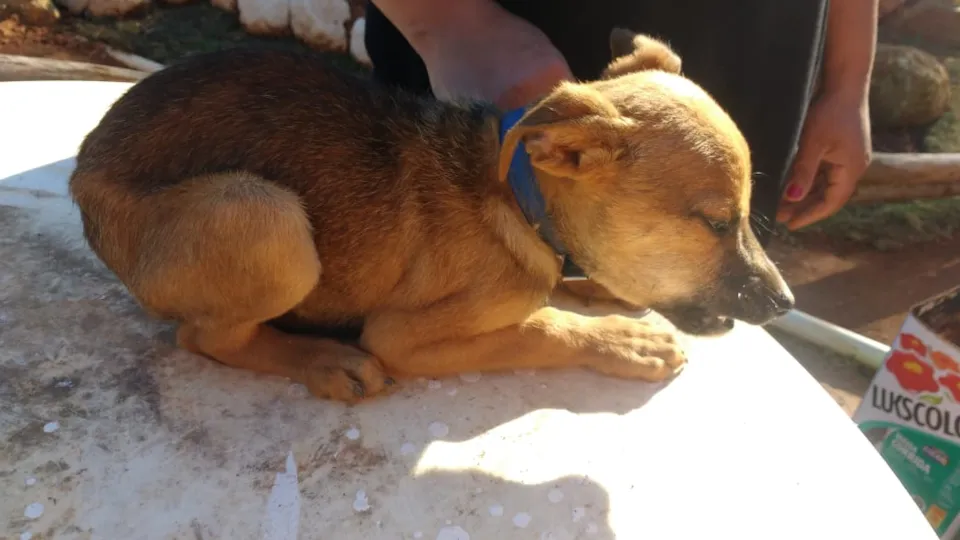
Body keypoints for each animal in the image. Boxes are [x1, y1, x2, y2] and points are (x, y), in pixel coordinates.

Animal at [69, 28, 794, 403]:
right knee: (204, 337)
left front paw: (601, 288)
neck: (519, 202)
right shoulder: (403, 335)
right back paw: (322, 360)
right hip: (263, 215)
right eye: (714, 222)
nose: (786, 302)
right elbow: (540, 328)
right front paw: (624, 341)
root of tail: (85, 170)